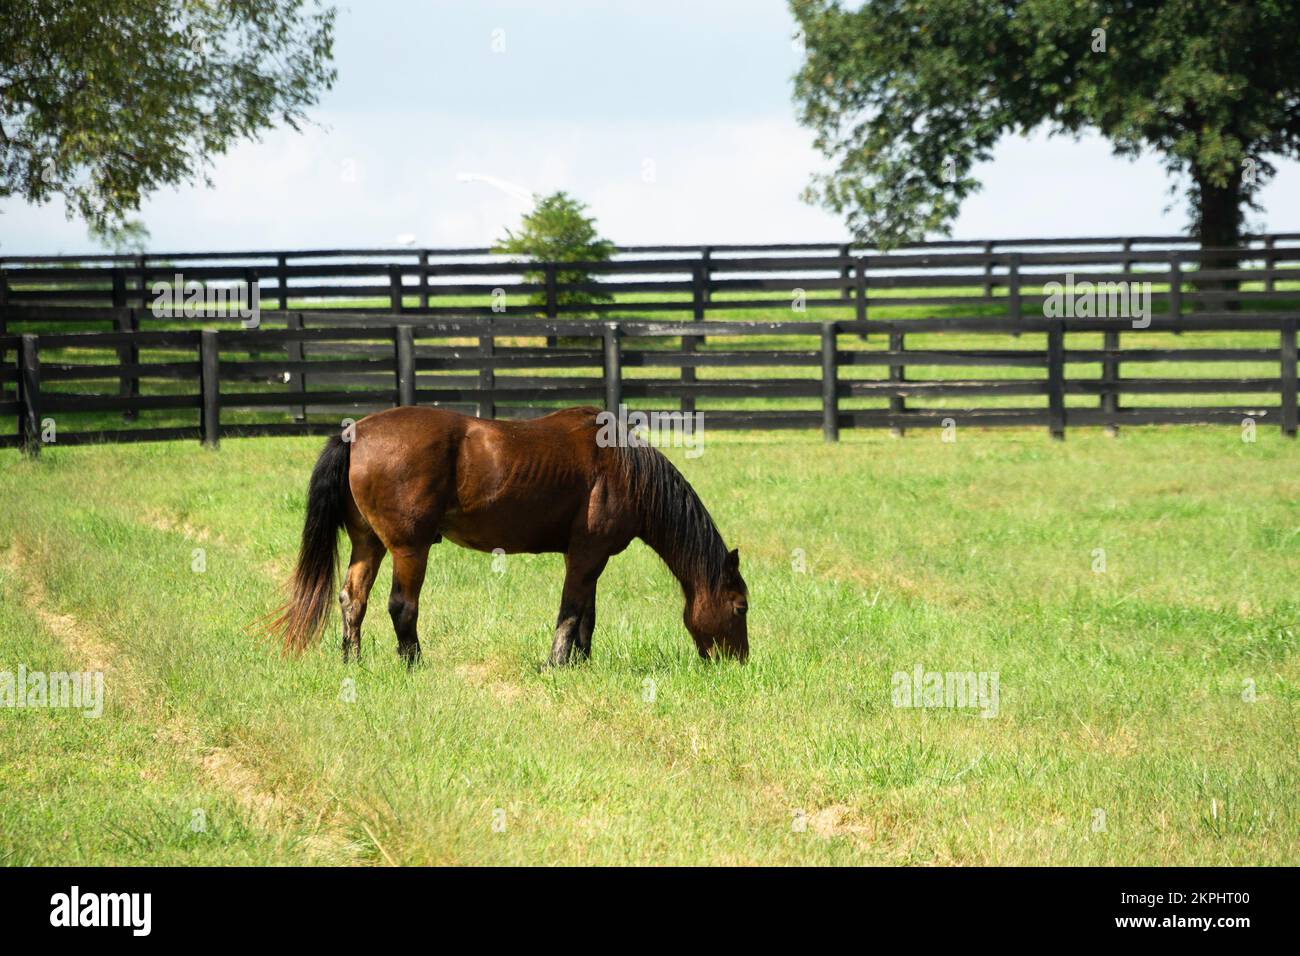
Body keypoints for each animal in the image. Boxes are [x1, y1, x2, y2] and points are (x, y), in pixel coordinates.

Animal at [270, 405, 748, 666]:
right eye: (740, 607)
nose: (739, 663)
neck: (623, 469)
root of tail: (355, 433)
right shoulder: (586, 555)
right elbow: (570, 612)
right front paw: (556, 665)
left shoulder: (590, 557)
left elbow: (587, 616)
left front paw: (582, 663)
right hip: (409, 548)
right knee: (401, 607)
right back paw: (414, 665)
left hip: (367, 542)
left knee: (353, 600)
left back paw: (352, 660)